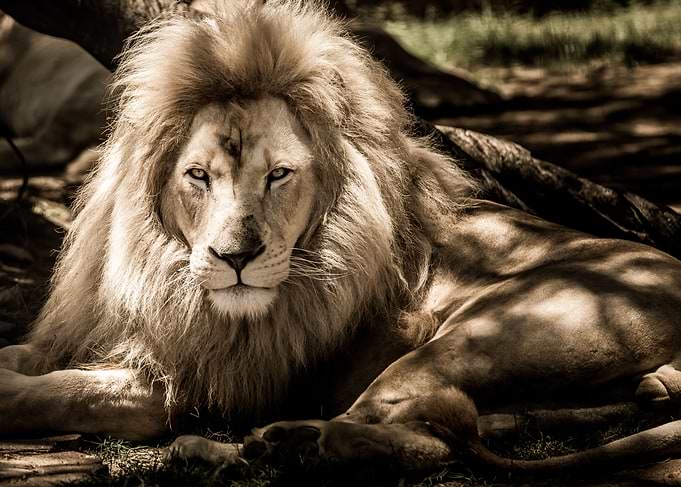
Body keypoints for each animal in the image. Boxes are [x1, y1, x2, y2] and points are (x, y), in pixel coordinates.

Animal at [2, 0, 681, 475]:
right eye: (198, 176)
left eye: (279, 175)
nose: (236, 258)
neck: (162, 271)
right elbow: (26, 359)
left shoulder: (195, 382)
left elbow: (60, 392)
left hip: (487, 335)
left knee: (410, 436)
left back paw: (263, 445)